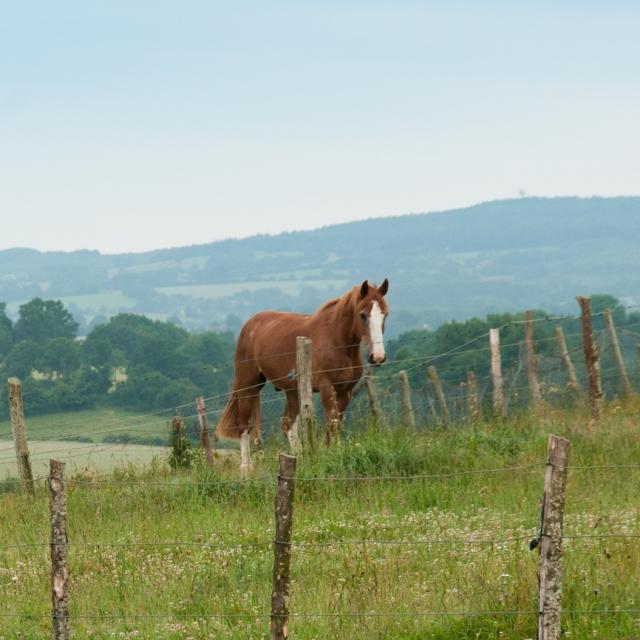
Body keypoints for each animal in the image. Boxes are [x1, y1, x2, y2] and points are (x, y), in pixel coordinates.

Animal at [216, 279, 389, 472]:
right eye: (363, 315)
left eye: (385, 314)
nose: (378, 356)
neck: (336, 342)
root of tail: (249, 325)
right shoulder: (326, 387)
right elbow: (332, 421)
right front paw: (332, 455)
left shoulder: (346, 391)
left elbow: (336, 423)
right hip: (249, 385)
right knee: (244, 424)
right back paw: (246, 467)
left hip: (292, 391)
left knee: (287, 425)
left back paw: (298, 456)